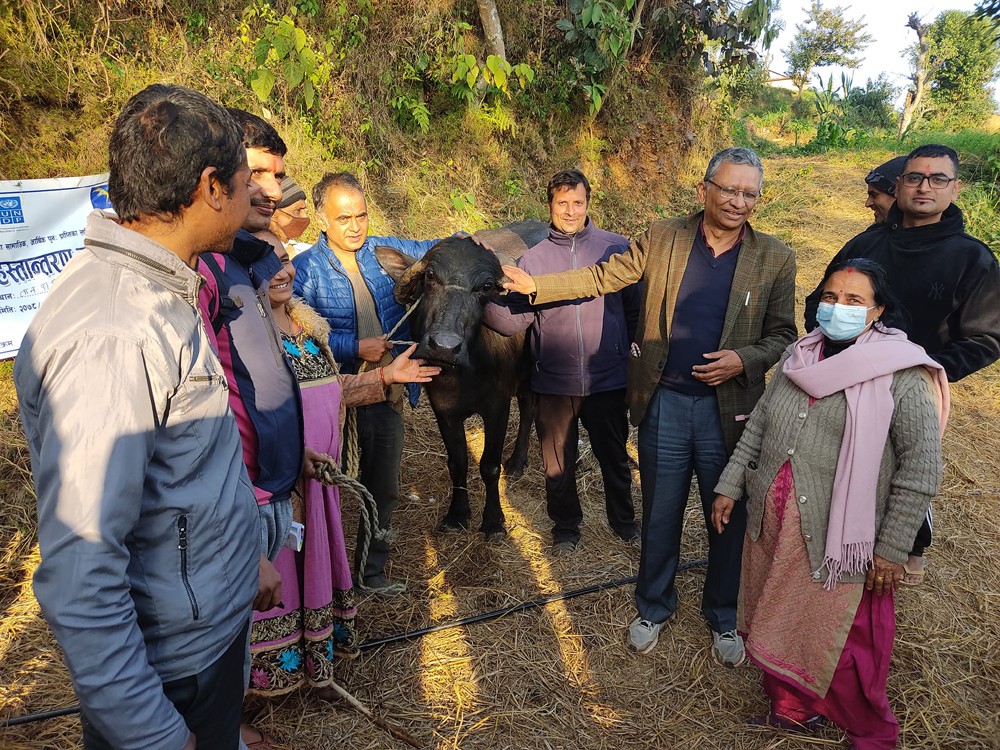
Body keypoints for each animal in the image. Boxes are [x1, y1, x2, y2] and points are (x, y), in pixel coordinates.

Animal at [376, 220, 548, 544]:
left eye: (486, 287)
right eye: (431, 276)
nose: (444, 346)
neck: (465, 375)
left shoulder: (497, 407)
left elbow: (489, 465)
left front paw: (493, 521)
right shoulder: (443, 409)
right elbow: (457, 463)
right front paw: (457, 514)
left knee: (532, 408)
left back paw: (518, 461)